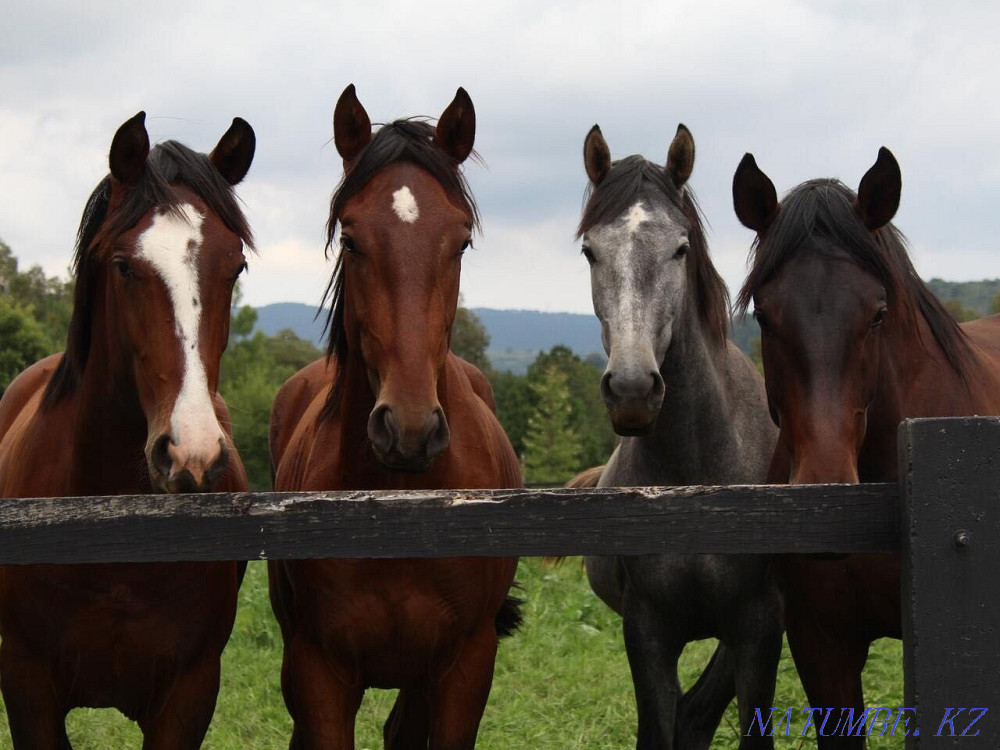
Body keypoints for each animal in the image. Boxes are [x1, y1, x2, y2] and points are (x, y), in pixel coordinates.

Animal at [0, 112, 255, 748]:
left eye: (235, 266)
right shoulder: (26, 686)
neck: (114, 530)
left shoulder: (190, 694)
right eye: (123, 266)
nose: (190, 454)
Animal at [268, 84, 522, 750]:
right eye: (351, 239)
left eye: (461, 241)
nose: (408, 430)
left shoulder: (464, 668)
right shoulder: (319, 672)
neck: (396, 511)